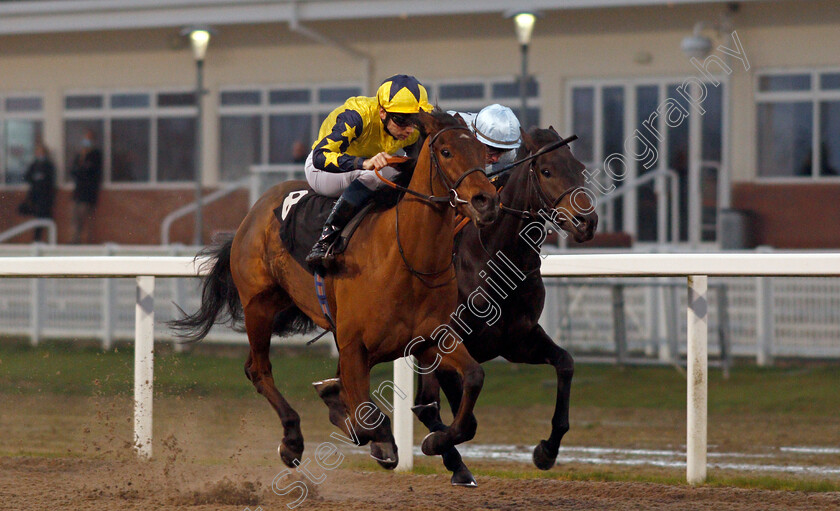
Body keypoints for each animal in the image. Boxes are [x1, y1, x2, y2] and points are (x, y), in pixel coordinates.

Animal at [171, 111, 498, 472]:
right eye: (446, 152)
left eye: (483, 153)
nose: (487, 201)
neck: (405, 259)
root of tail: (253, 212)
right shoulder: (355, 347)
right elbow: (367, 419)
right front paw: (376, 435)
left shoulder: (431, 338)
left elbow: (473, 381)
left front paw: (436, 440)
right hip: (258, 305)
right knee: (259, 369)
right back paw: (292, 439)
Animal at [412, 126, 596, 486]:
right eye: (546, 170)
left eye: (580, 168)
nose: (588, 221)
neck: (497, 259)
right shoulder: (448, 343)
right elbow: (462, 411)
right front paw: (437, 444)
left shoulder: (517, 340)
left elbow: (565, 363)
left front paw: (546, 451)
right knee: (427, 404)